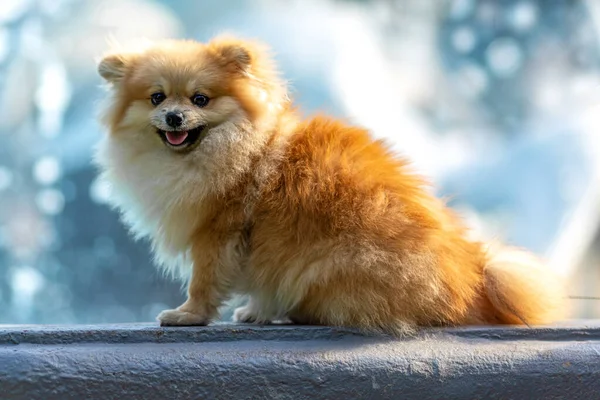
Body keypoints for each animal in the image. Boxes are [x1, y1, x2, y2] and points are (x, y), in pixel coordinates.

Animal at [92, 36, 564, 334]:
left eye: (200, 100)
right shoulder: (252, 246)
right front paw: (255, 312)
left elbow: (204, 282)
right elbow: (259, 282)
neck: (237, 147)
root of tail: (474, 278)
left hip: (333, 261)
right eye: (156, 98)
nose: (174, 117)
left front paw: (188, 315)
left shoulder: (218, 233)